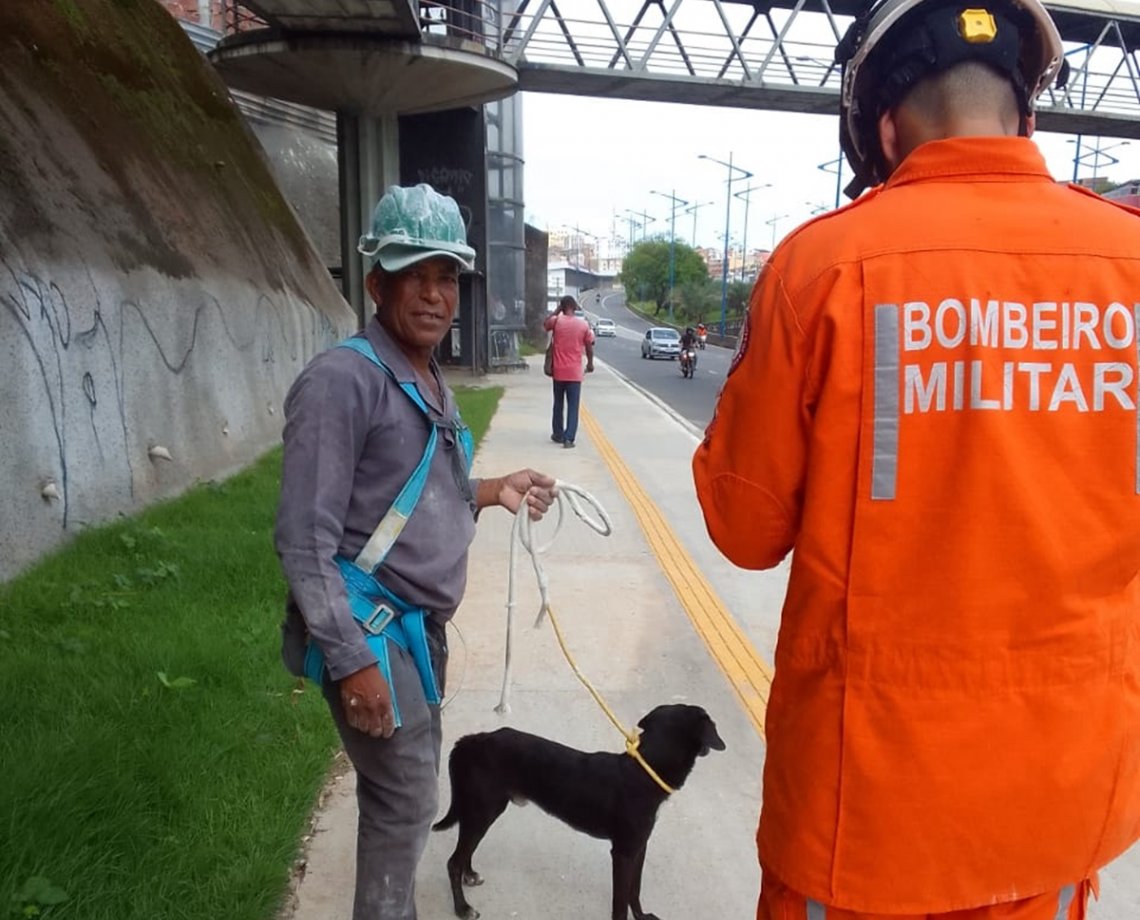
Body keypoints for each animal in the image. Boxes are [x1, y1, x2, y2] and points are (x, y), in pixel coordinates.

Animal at [430, 702, 725, 916]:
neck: (643, 771)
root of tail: (472, 740)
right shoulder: (623, 853)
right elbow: (620, 901)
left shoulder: (639, 847)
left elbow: (635, 891)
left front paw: (642, 916)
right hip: (483, 810)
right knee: (453, 861)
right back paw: (462, 908)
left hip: (483, 810)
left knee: (465, 851)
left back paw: (470, 874)